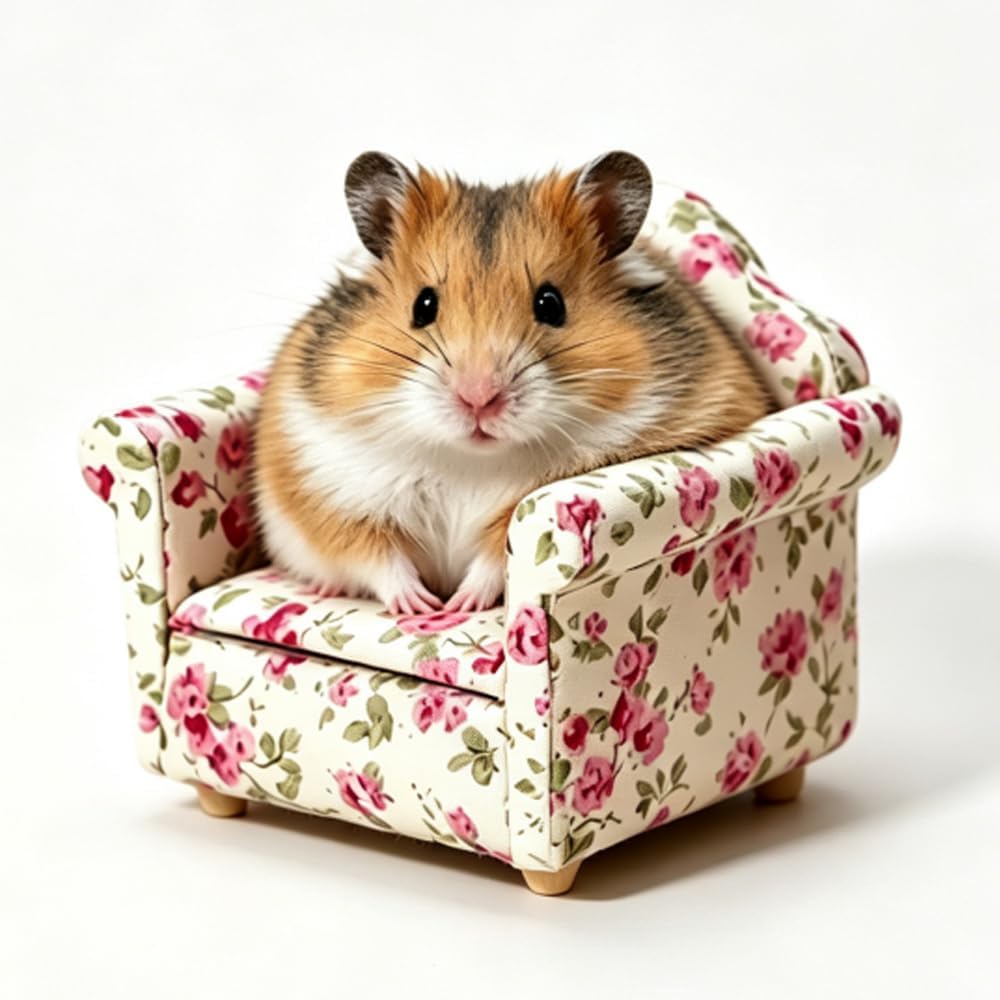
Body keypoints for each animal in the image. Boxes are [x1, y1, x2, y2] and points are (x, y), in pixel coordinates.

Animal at [254, 151, 772, 615]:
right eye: (423, 305)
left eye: (550, 303)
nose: (479, 399)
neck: (470, 461)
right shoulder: (328, 490)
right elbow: (377, 555)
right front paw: (421, 608)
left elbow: (493, 561)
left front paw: (458, 604)